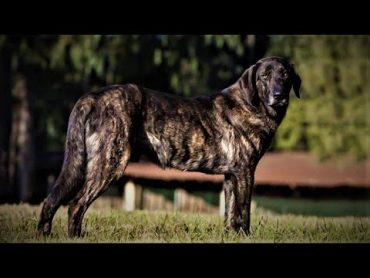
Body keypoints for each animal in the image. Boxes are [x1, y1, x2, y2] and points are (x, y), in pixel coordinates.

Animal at [37, 56, 300, 237]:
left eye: (285, 75)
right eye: (264, 76)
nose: (279, 95)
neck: (252, 104)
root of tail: (92, 96)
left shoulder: (231, 176)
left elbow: (230, 213)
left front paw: (231, 236)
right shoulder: (245, 172)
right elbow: (244, 213)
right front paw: (245, 236)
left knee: (51, 201)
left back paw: (44, 234)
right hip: (109, 163)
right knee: (76, 204)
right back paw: (76, 236)